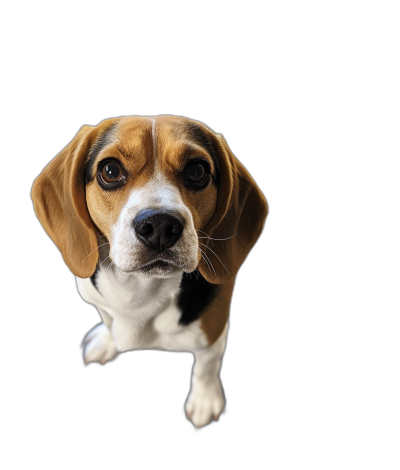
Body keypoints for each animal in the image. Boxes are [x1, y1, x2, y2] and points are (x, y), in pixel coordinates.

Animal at [31, 115, 268, 428]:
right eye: (110, 170)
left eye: (197, 171)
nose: (159, 226)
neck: (139, 289)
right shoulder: (99, 301)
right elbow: (108, 319)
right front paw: (107, 340)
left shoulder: (213, 330)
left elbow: (206, 366)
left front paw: (204, 399)